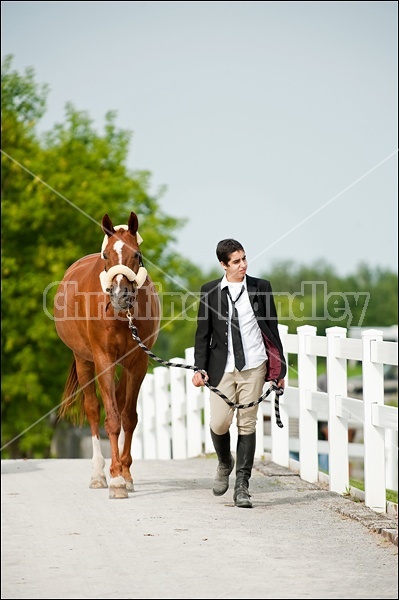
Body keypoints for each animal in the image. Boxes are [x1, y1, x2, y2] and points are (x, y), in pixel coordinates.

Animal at [54, 213, 160, 500]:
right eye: (106, 255)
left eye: (137, 254)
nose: (120, 295)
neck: (122, 317)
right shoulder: (104, 360)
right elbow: (110, 418)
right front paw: (116, 481)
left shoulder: (138, 362)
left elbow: (129, 417)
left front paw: (125, 473)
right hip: (83, 360)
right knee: (92, 409)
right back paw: (99, 474)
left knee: (122, 404)